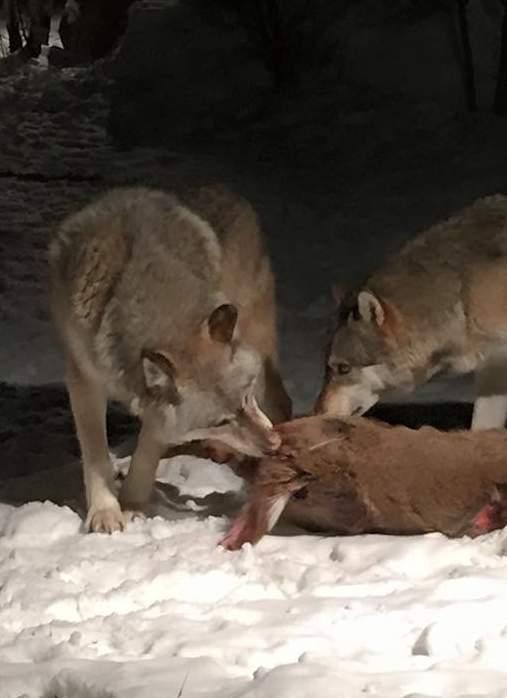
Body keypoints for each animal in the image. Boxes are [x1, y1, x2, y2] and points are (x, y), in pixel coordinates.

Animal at [51, 182, 292, 532]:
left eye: (245, 399)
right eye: (222, 421)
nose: (273, 444)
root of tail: (224, 188)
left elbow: (146, 455)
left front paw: (133, 505)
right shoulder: (84, 379)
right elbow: (96, 455)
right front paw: (106, 511)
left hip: (259, 340)